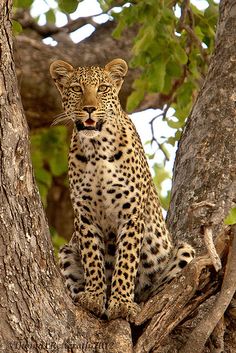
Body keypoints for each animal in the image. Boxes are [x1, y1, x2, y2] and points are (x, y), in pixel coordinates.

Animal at [49, 57, 194, 322]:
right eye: (76, 89)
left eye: (103, 88)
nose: (89, 108)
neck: (96, 149)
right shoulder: (85, 216)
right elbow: (93, 258)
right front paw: (94, 297)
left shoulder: (131, 214)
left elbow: (126, 260)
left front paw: (122, 304)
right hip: (66, 251)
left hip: (182, 251)